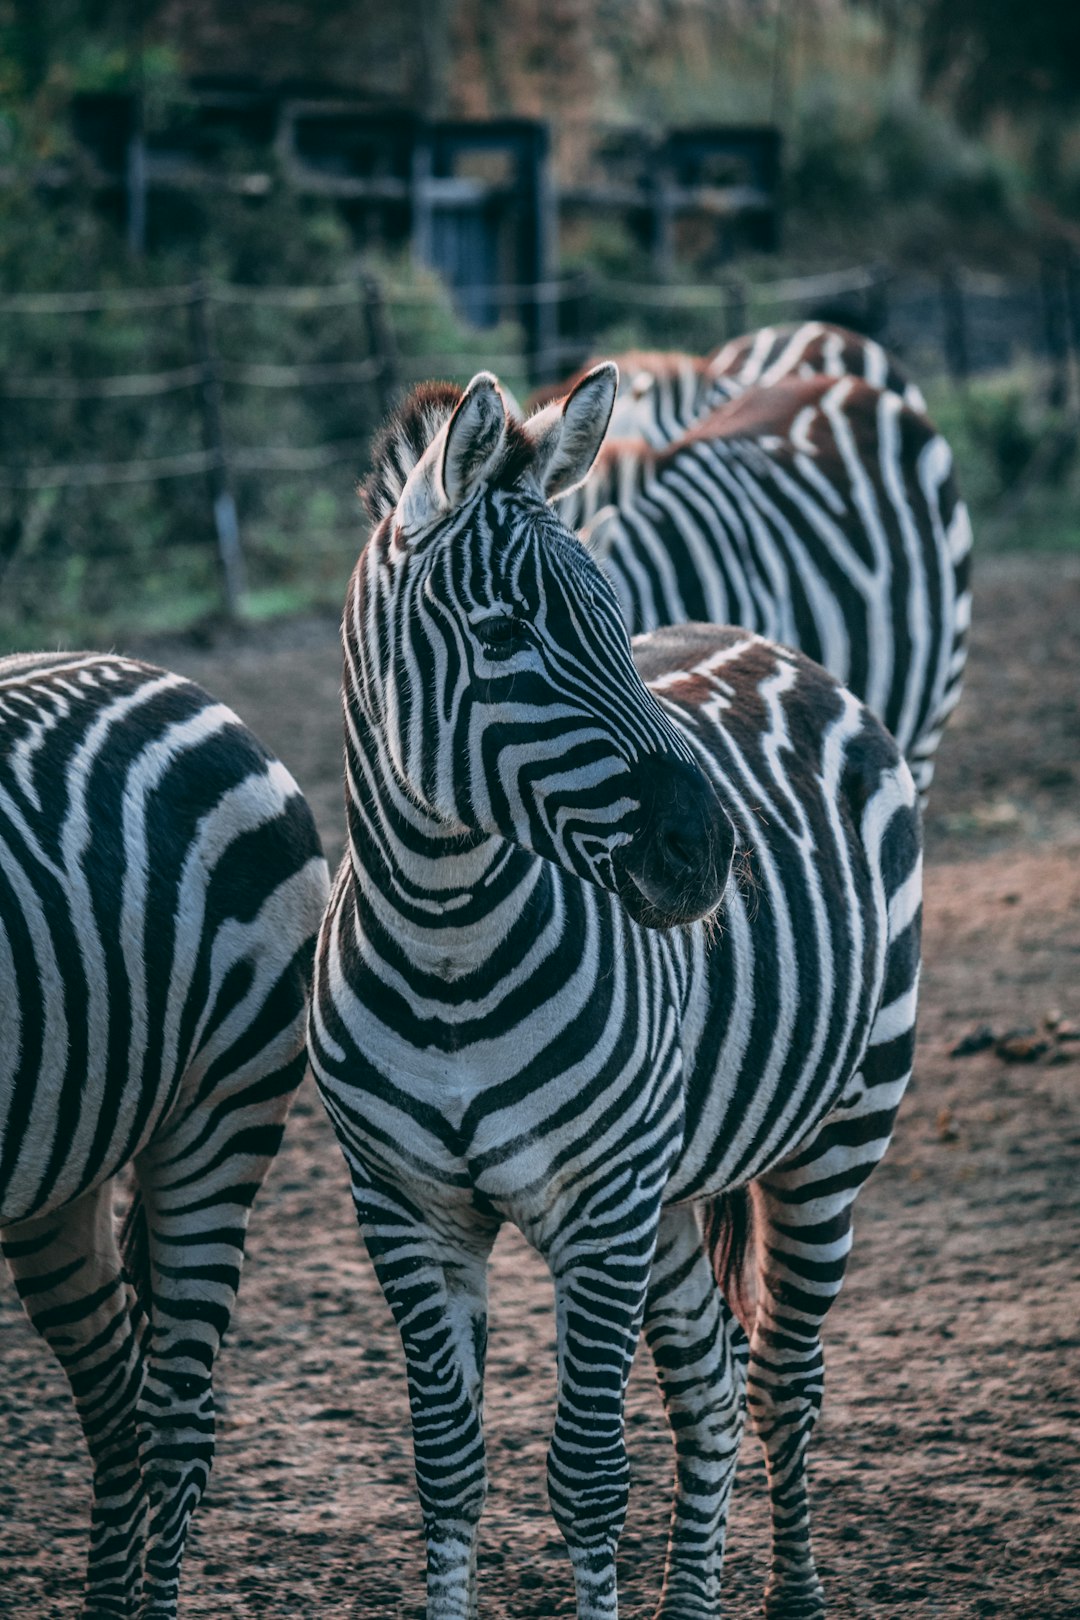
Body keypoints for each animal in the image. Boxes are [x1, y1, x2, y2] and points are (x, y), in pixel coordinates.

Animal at [310, 367, 919, 1620]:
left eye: (609, 620)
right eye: (504, 633)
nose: (709, 855)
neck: (445, 949)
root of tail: (772, 644)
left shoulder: (600, 1204)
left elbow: (587, 1472)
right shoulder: (402, 1207)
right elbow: (448, 1467)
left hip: (835, 1135)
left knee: (785, 1374)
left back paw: (794, 1591)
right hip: (676, 1187)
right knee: (714, 1388)